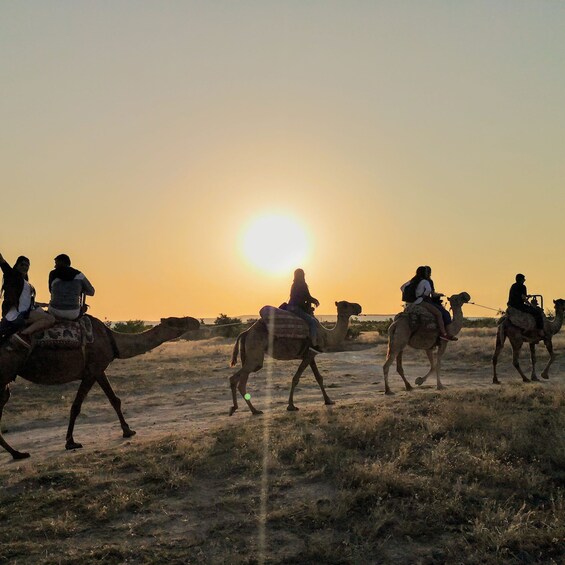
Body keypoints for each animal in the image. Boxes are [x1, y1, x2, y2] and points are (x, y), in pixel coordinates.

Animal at [0, 312, 199, 458]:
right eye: (176, 321)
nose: (195, 321)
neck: (112, 340)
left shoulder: (99, 369)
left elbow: (114, 399)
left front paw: (128, 430)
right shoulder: (92, 370)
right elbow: (76, 406)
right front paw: (70, 442)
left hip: (5, 382)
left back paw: (17, 453)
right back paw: (17, 453)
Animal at [228, 300, 362, 414]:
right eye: (346, 304)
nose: (359, 306)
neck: (326, 335)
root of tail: (246, 332)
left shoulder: (311, 355)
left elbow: (319, 377)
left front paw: (328, 400)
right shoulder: (309, 354)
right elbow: (296, 378)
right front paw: (291, 406)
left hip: (250, 355)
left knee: (239, 380)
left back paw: (245, 409)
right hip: (255, 353)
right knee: (239, 379)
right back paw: (247, 409)